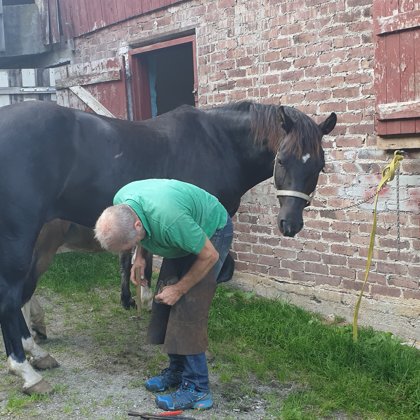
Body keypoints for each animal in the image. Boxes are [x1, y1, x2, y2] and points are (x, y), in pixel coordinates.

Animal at [0, 100, 336, 395]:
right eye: (281, 160)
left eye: (320, 165)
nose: (290, 224)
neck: (219, 144)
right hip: (20, 239)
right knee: (11, 296)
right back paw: (26, 371)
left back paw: (36, 353)